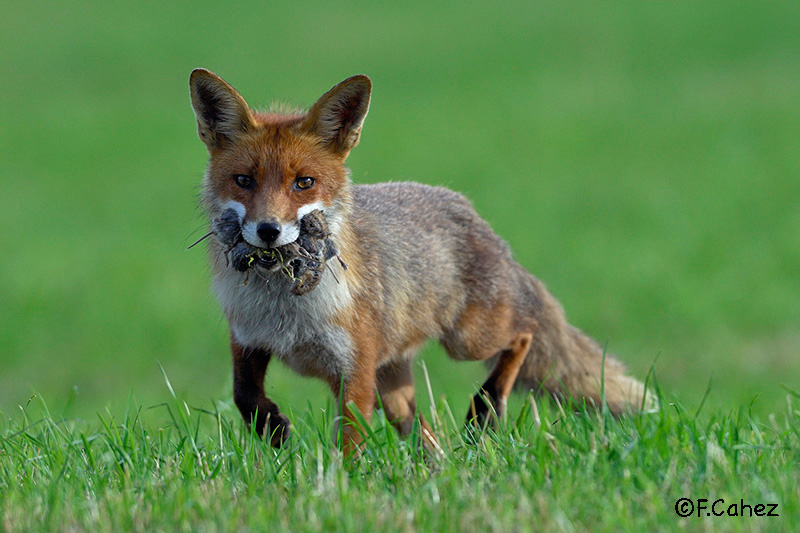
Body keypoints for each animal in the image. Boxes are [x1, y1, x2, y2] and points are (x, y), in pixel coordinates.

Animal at [189, 69, 655, 455]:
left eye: (304, 182)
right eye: (244, 180)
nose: (268, 231)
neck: (286, 309)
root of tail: (468, 209)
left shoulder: (354, 370)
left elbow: (350, 443)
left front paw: (343, 486)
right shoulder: (248, 340)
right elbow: (244, 396)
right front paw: (276, 431)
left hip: (468, 340)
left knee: (522, 334)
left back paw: (485, 409)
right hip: (394, 385)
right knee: (427, 436)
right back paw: (442, 467)